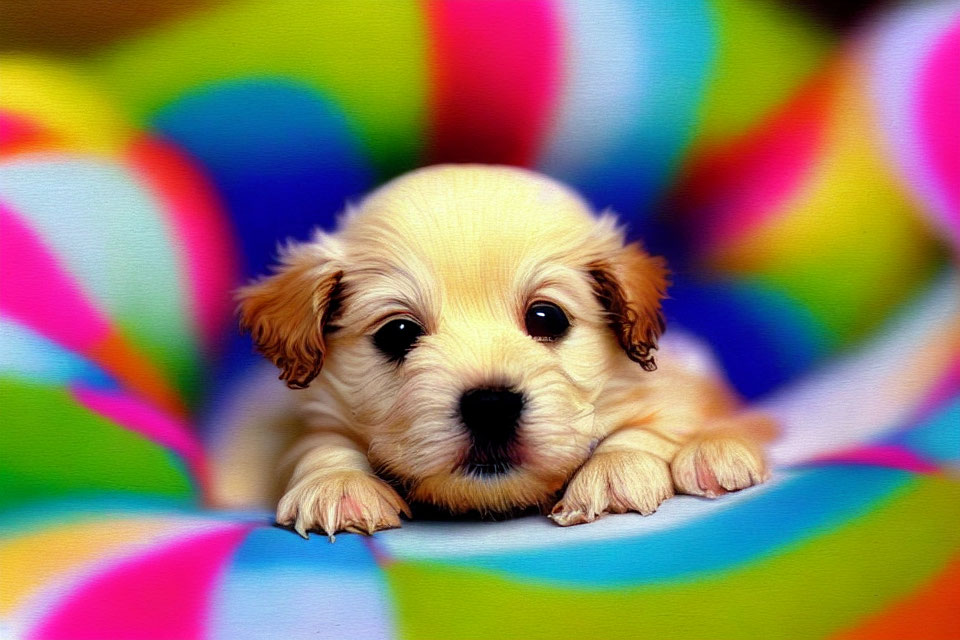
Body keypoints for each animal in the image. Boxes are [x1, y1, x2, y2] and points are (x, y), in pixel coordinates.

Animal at [236, 166, 776, 540]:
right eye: (398, 333)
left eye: (546, 318)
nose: (491, 406)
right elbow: (318, 443)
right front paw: (338, 484)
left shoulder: (673, 387)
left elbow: (653, 422)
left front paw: (615, 471)